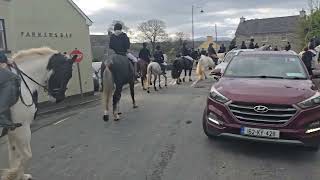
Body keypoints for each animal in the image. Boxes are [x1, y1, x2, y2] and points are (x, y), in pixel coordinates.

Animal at [0, 47, 75, 179]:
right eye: (67, 73)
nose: (60, 98)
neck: (23, 85)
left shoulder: (12, 131)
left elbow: (14, 157)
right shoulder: (22, 128)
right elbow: (26, 156)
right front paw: (13, 175)